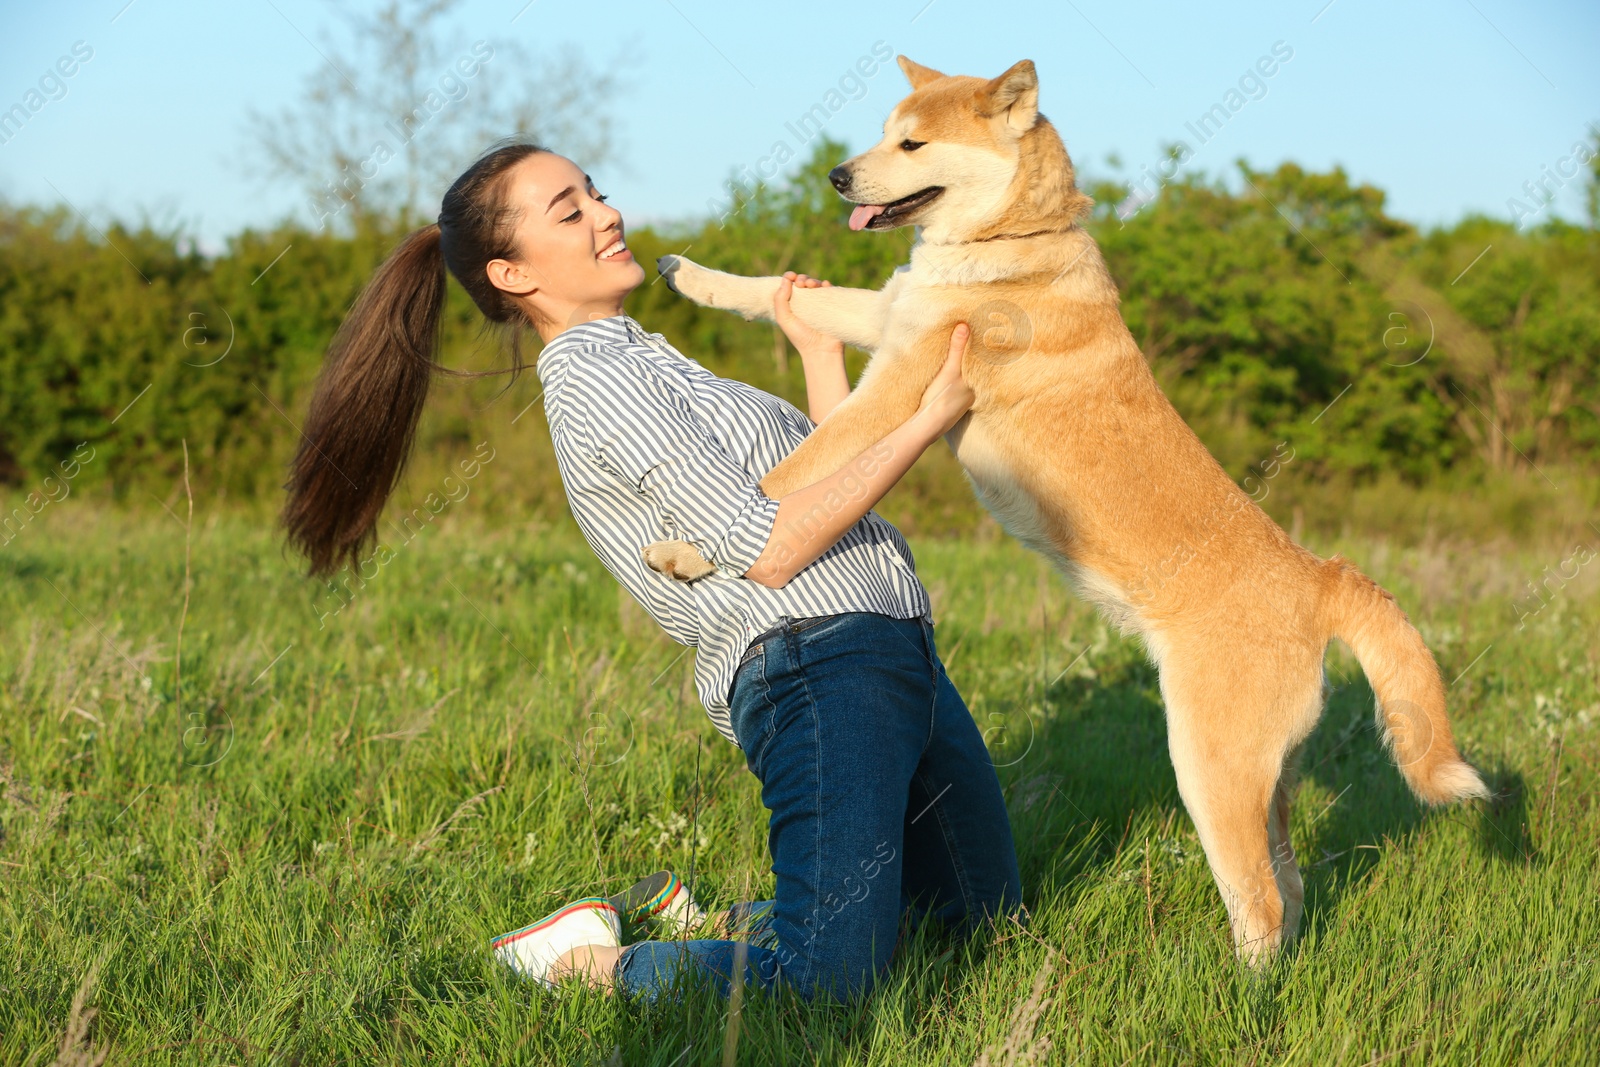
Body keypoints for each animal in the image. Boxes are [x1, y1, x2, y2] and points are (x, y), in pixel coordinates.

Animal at [640, 54, 1484, 966]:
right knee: (1288, 892)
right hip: (1270, 782)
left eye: (913, 143)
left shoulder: (898, 387)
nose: (836, 176)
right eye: (884, 131)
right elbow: (780, 294)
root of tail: (1318, 575)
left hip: (1210, 768)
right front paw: (689, 273)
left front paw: (687, 552)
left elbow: (793, 472)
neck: (1011, 245)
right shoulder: (887, 315)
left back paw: (1229, 989)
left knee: (1258, 902)